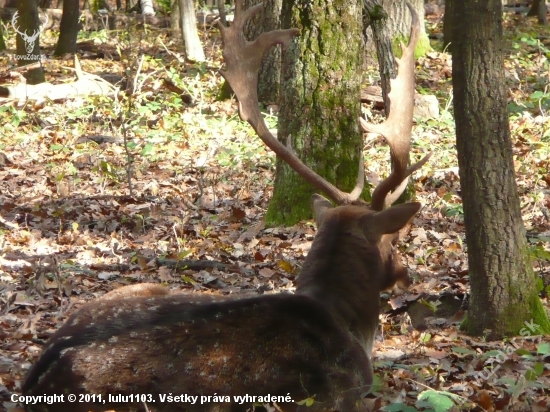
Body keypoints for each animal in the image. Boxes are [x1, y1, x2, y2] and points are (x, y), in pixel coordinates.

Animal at [21, 1, 429, 411]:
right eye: (393, 239)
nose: (406, 273)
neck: (341, 317)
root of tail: (36, 380)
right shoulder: (343, 393)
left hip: (130, 293)